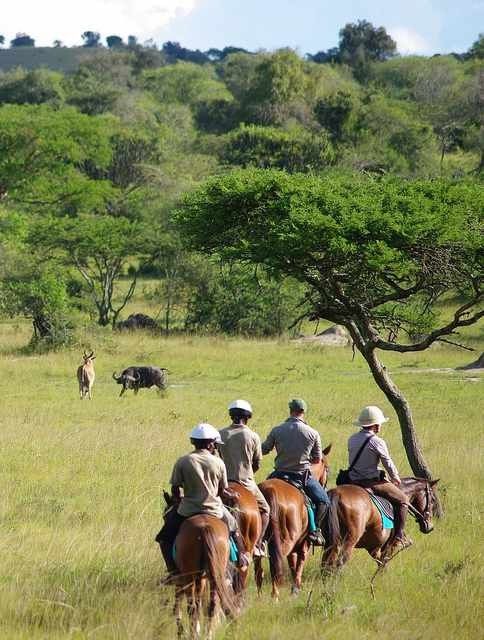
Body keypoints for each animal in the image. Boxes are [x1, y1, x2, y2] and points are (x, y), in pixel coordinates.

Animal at [163, 498, 238, 636]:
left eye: (165, 516)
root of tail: (205, 527)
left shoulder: (181, 581)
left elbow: (178, 607)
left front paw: (182, 631)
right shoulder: (202, 579)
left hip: (189, 577)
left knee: (192, 607)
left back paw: (193, 634)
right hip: (214, 576)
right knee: (211, 605)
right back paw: (207, 634)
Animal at [258, 444, 332, 600]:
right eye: (327, 468)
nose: (324, 486)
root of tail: (270, 490)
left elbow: (292, 563)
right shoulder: (305, 543)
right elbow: (299, 563)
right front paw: (296, 588)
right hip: (285, 540)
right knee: (276, 561)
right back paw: (275, 594)